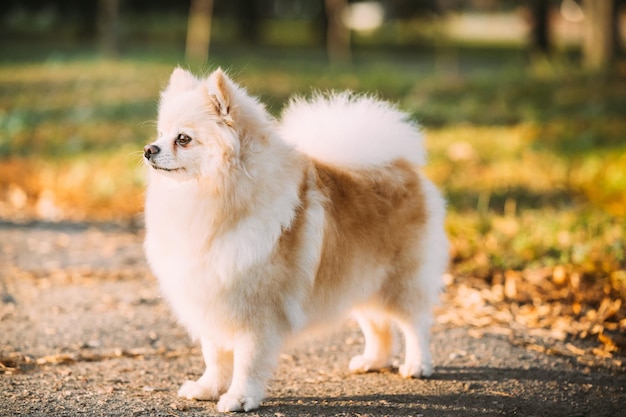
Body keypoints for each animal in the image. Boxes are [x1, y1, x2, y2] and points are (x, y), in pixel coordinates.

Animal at [143, 66, 444, 412]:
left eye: (183, 139)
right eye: (160, 133)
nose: (149, 149)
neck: (215, 196)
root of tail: (402, 166)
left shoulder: (256, 311)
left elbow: (246, 359)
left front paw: (239, 397)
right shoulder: (212, 296)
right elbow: (215, 354)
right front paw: (208, 387)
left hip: (398, 281)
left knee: (414, 323)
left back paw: (417, 365)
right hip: (360, 280)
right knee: (378, 324)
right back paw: (372, 360)